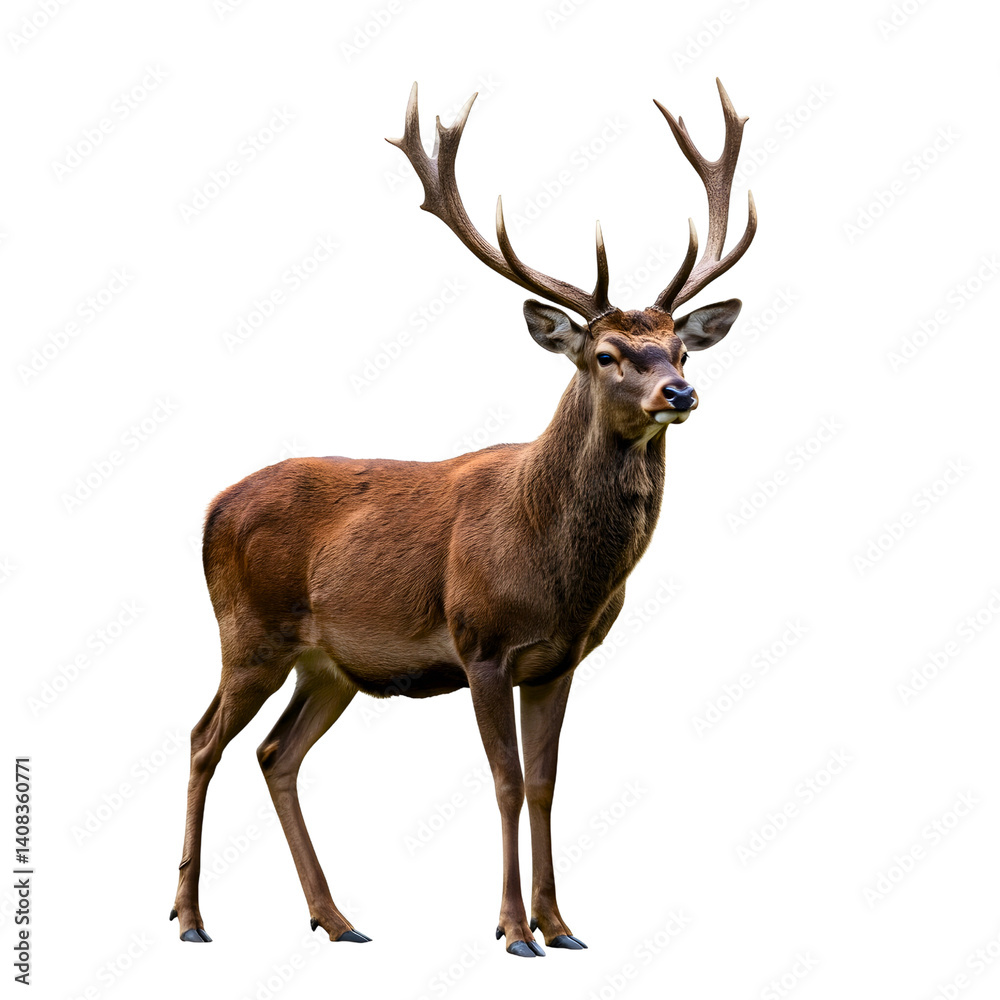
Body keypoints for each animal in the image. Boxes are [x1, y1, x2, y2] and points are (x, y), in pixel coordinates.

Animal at [170, 78, 757, 957]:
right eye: (606, 355)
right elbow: (506, 782)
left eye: (681, 351)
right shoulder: (480, 641)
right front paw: (513, 929)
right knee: (203, 740)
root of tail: (209, 508)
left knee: (276, 753)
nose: (679, 393)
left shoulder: (558, 659)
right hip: (249, 630)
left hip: (329, 664)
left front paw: (562, 925)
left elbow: (546, 782)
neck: (559, 572)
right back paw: (191, 918)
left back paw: (336, 919)